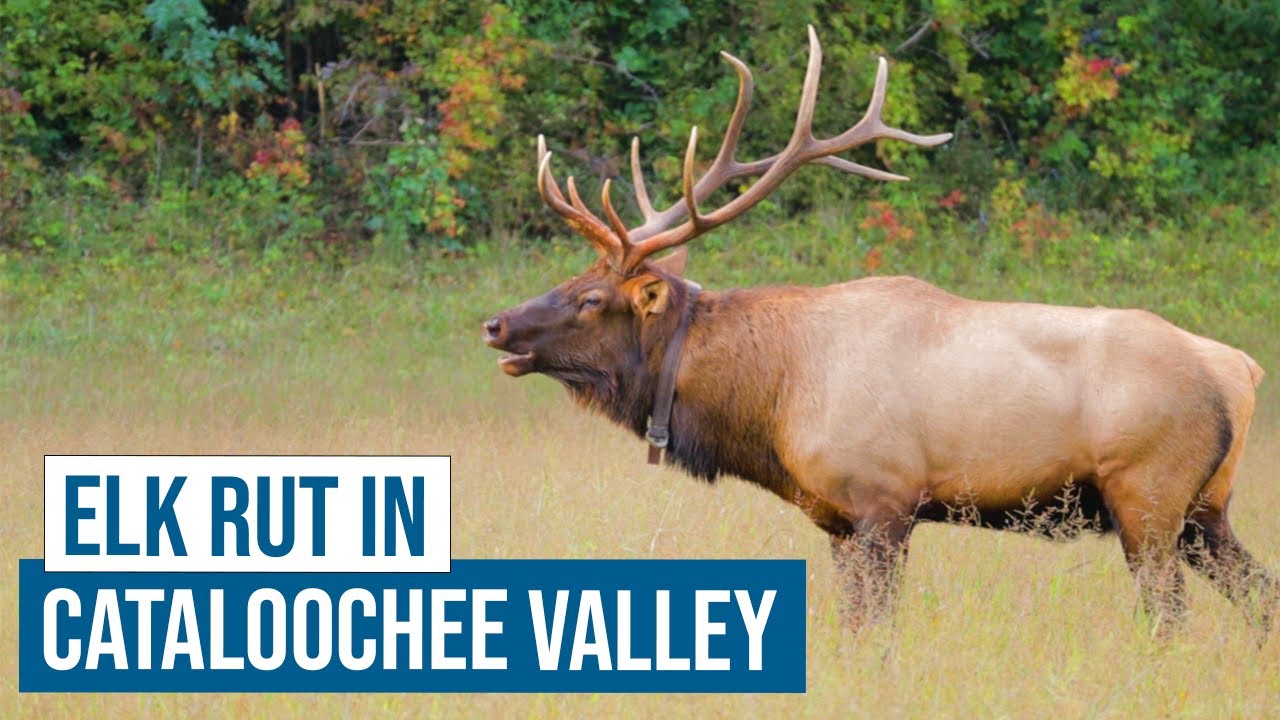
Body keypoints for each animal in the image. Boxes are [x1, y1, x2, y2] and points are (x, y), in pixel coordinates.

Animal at [483, 27, 1274, 634]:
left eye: (589, 297)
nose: (496, 323)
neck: (770, 400)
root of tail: (1241, 369)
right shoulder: (836, 520)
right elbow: (854, 627)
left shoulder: (884, 502)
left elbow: (878, 630)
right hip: (1206, 508)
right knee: (1259, 596)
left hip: (1149, 494)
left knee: (1169, 615)